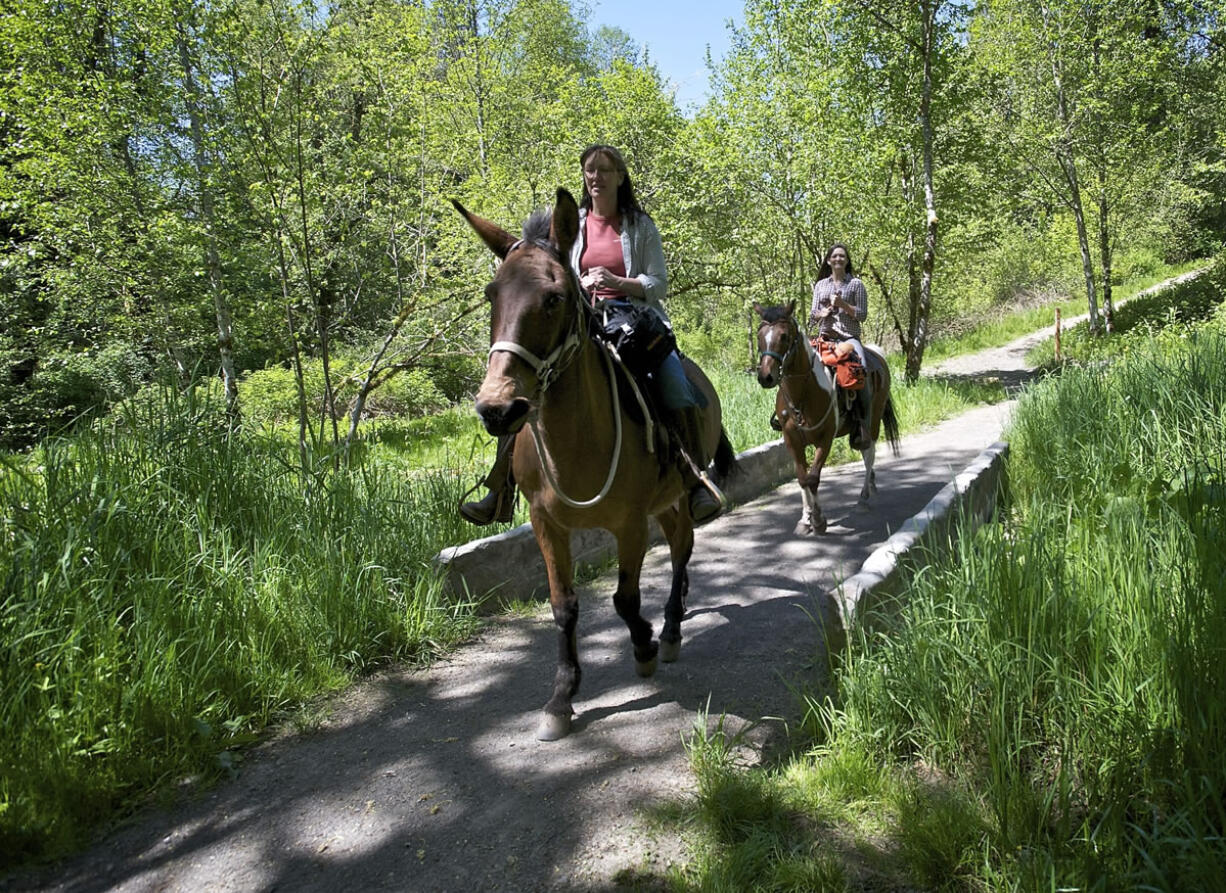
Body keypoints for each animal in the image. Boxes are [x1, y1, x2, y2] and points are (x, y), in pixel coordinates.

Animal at [453, 186, 730, 740]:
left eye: (554, 297)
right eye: (493, 295)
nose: (499, 409)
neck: (576, 444)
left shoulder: (629, 522)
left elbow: (625, 599)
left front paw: (644, 645)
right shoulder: (546, 522)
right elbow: (564, 605)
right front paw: (561, 698)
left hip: (676, 499)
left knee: (681, 553)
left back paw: (670, 630)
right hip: (664, 505)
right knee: (679, 551)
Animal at [750, 300, 897, 537]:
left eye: (784, 336)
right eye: (759, 335)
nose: (766, 377)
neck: (804, 393)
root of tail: (877, 353)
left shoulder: (825, 439)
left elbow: (813, 478)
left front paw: (819, 520)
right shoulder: (792, 439)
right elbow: (802, 478)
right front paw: (805, 519)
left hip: (873, 421)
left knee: (869, 455)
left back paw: (863, 498)